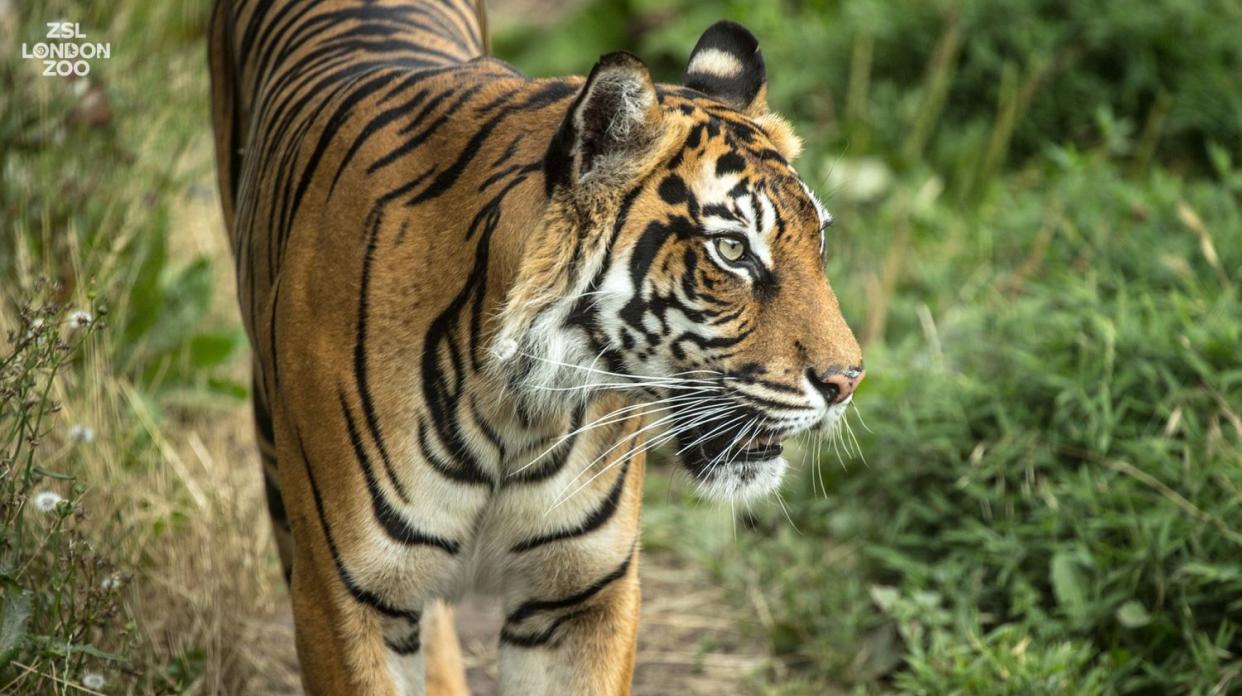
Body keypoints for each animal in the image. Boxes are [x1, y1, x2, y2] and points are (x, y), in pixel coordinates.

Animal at [206, 0, 864, 691]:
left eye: (818, 242)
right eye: (732, 249)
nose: (848, 380)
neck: (515, 407)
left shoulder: (581, 595)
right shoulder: (344, 596)